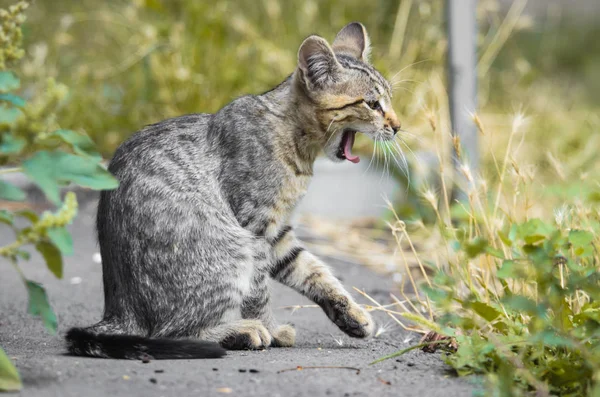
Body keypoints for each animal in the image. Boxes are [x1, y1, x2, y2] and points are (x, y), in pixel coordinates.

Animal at [65, 21, 400, 358]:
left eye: (390, 101)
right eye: (372, 104)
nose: (397, 126)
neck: (295, 142)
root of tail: (119, 313)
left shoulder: (278, 233)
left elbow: (312, 269)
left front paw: (350, 313)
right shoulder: (256, 226)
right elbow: (259, 291)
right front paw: (270, 328)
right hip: (232, 248)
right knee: (175, 331)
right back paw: (240, 331)